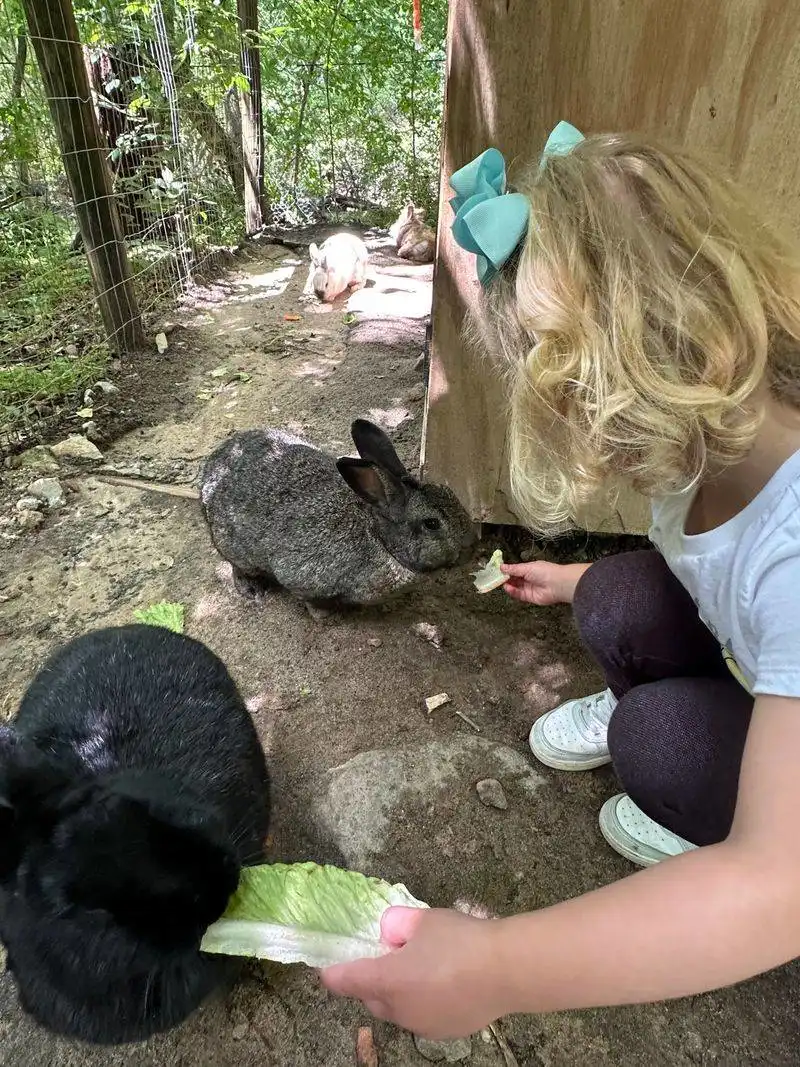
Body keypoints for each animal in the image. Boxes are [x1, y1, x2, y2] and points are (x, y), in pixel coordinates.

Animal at [200, 418, 476, 608]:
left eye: (449, 492)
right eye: (432, 523)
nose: (473, 543)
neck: (378, 536)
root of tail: (209, 469)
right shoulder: (302, 576)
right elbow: (309, 598)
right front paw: (323, 615)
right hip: (233, 546)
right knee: (236, 566)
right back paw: (251, 590)